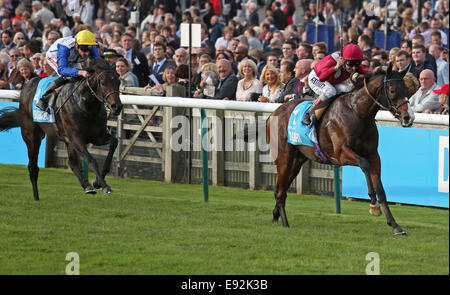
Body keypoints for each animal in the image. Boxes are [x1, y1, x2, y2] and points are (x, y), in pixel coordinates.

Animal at [0, 57, 123, 201]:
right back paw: (36, 198)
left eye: (118, 82)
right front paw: (105, 187)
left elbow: (114, 142)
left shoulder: (97, 136)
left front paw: (96, 182)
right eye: (103, 83)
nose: (117, 106)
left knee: (72, 162)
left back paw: (87, 186)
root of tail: (26, 86)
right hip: (32, 137)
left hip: (66, 140)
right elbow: (91, 160)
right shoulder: (76, 138)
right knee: (33, 167)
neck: (86, 106)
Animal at [268, 63, 414, 235]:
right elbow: (364, 164)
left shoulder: (374, 155)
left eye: (407, 89)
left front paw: (395, 225)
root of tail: (274, 113)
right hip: (284, 158)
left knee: (281, 189)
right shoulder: (341, 154)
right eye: (392, 90)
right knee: (281, 192)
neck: (358, 113)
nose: (408, 117)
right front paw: (373, 204)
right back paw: (285, 223)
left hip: (297, 161)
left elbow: (381, 189)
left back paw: (276, 215)